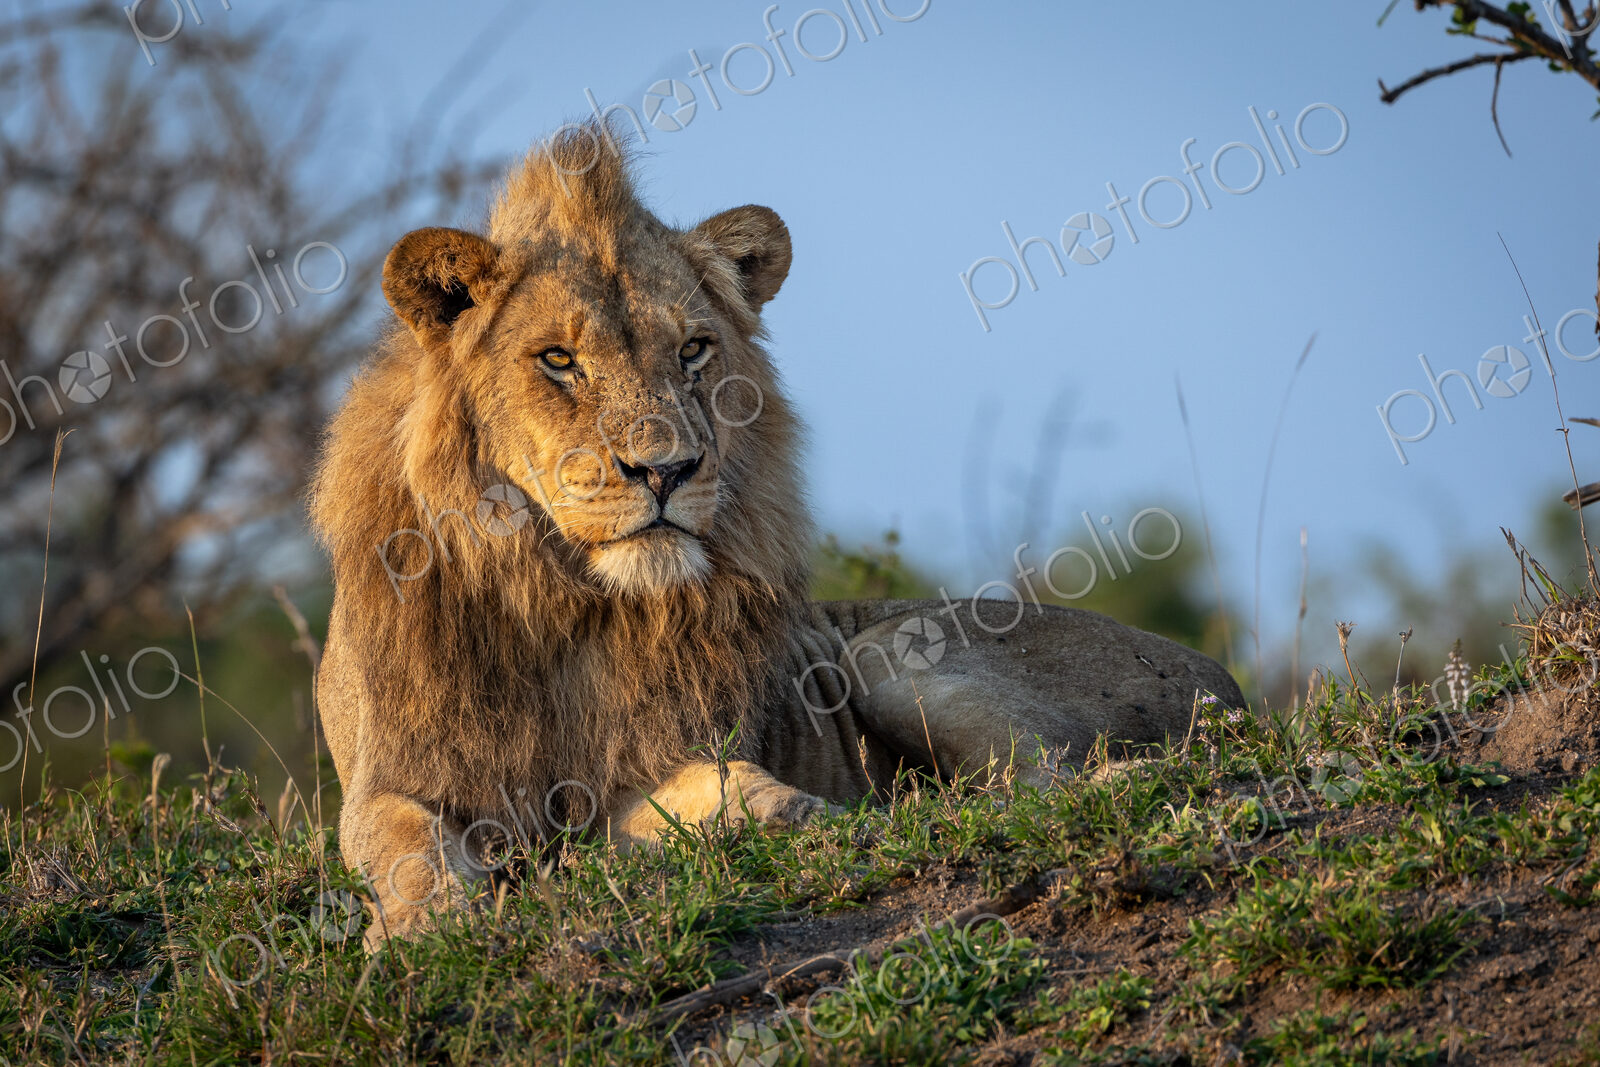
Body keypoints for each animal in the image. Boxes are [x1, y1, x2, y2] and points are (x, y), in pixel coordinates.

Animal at [309, 124, 1243, 947]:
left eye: (693, 349)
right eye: (558, 360)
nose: (666, 470)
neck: (559, 601)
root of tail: (1225, 681)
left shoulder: (651, 763)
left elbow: (704, 790)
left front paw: (793, 811)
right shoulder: (386, 780)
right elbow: (402, 845)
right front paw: (424, 926)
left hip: (889, 650)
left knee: (1049, 779)